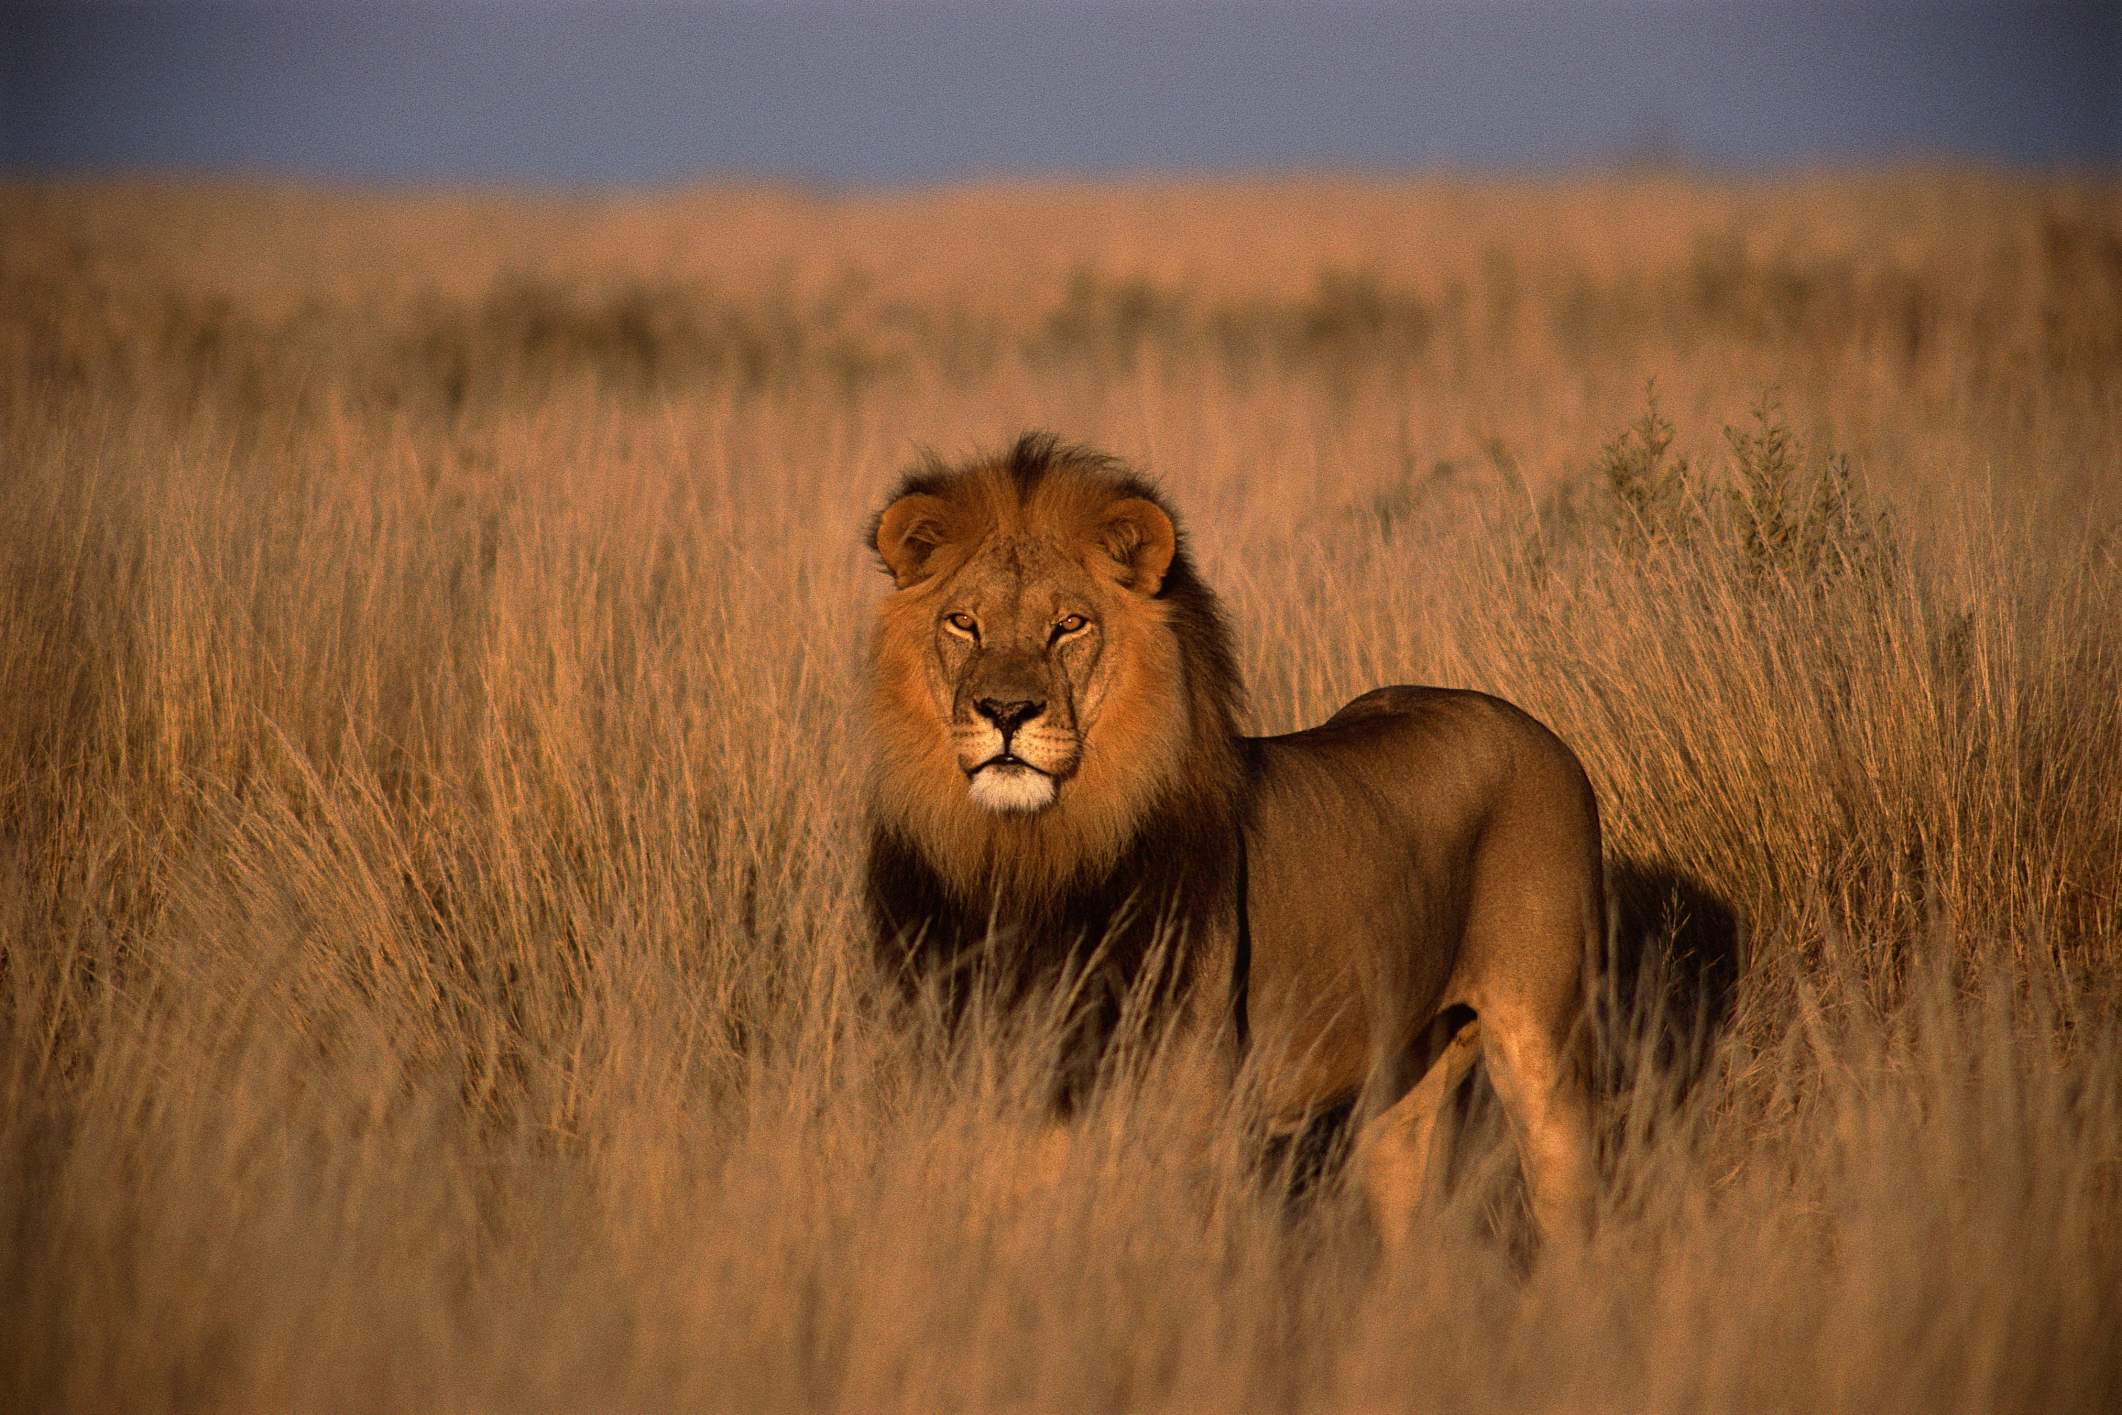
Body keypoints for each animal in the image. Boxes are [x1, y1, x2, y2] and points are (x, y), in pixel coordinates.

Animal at [864, 433, 1601, 1247]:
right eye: (964, 623)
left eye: (1070, 626)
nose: (1004, 710)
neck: (1031, 860)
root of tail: (1537, 730)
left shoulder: (1189, 1112)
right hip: (1404, 1076)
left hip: (1545, 1047)